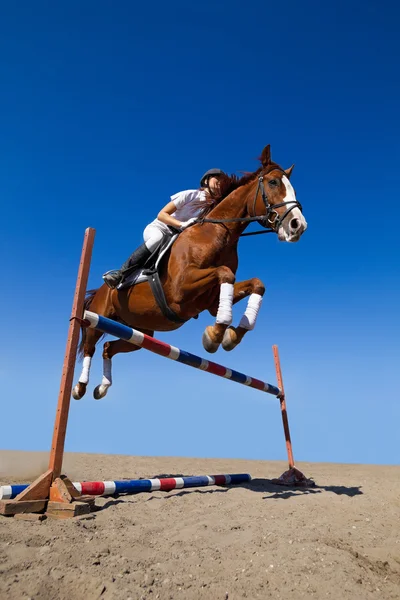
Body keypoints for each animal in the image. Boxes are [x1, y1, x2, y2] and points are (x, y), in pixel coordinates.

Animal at [73, 143, 308, 400]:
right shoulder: (180, 290)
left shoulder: (211, 300)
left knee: (108, 348)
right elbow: (225, 272)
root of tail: (99, 290)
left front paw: (230, 335)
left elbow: (256, 283)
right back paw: (79, 387)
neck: (218, 234)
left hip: (140, 331)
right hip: (99, 315)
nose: (298, 226)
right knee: (90, 346)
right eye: (273, 182)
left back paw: (102, 387)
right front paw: (214, 336)